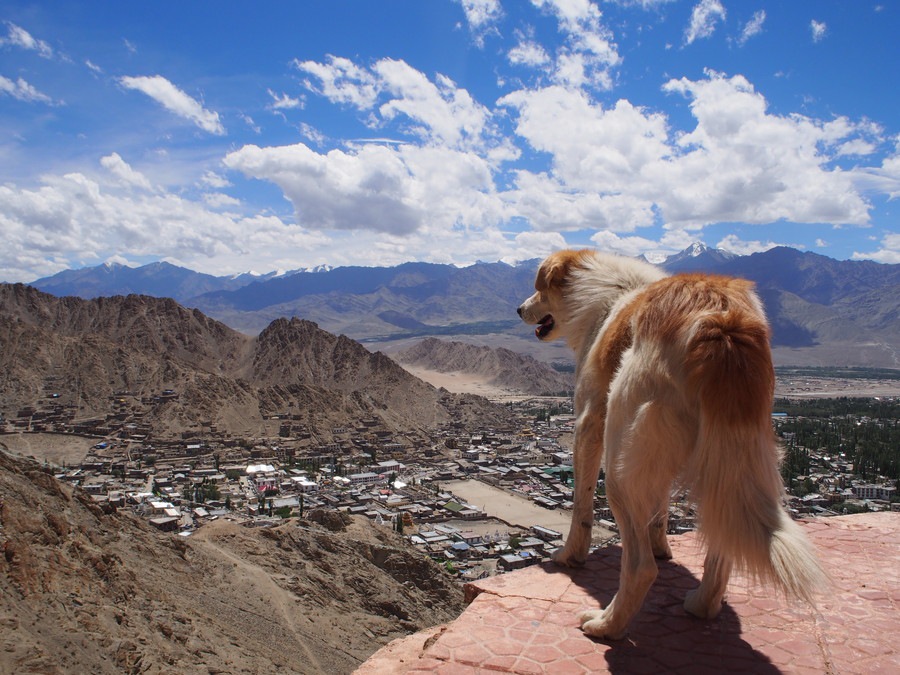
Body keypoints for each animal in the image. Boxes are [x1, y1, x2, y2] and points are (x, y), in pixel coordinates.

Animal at [516, 248, 828, 640]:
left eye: (539, 287)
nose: (519, 309)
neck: (605, 293)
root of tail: (720, 322)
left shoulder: (588, 422)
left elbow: (581, 507)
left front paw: (570, 555)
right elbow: (659, 505)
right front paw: (662, 544)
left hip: (620, 456)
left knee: (640, 568)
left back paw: (607, 624)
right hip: (732, 455)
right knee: (724, 531)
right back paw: (702, 603)